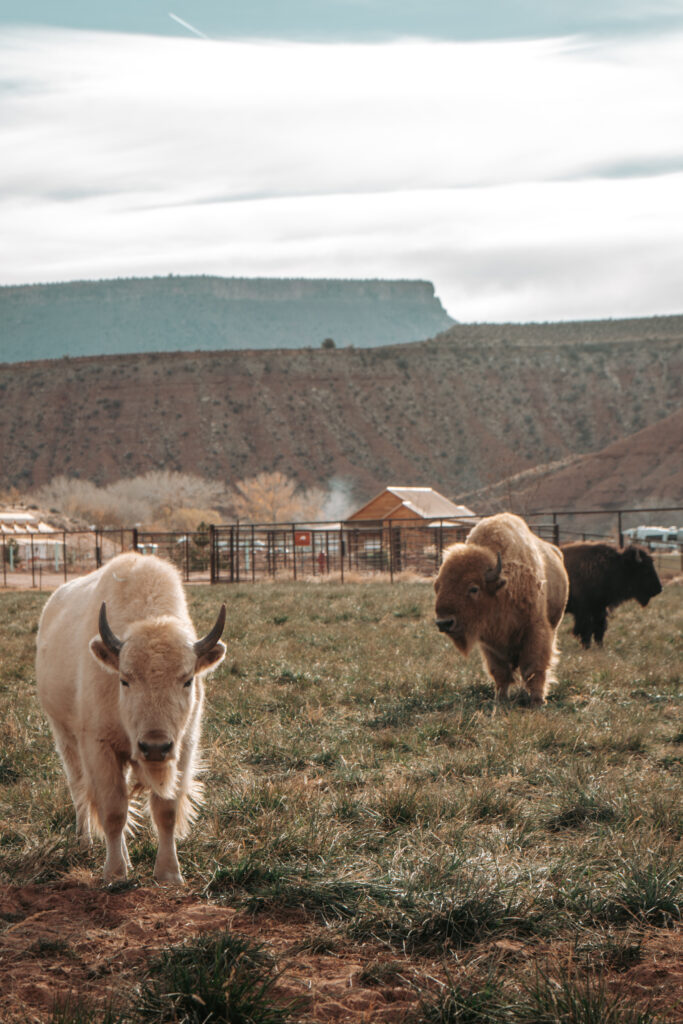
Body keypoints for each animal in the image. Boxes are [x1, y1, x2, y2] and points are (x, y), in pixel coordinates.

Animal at [36, 552, 227, 880]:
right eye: (125, 680)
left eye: (188, 680)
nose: (154, 746)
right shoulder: (98, 746)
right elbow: (113, 811)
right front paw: (115, 873)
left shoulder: (183, 747)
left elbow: (166, 811)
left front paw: (169, 873)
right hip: (64, 735)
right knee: (78, 787)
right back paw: (85, 841)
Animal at [436, 512, 569, 704]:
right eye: (438, 586)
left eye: (474, 588)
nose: (444, 622)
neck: (501, 589)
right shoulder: (490, 644)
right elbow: (500, 672)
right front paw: (500, 699)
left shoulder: (535, 631)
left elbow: (533, 668)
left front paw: (537, 701)